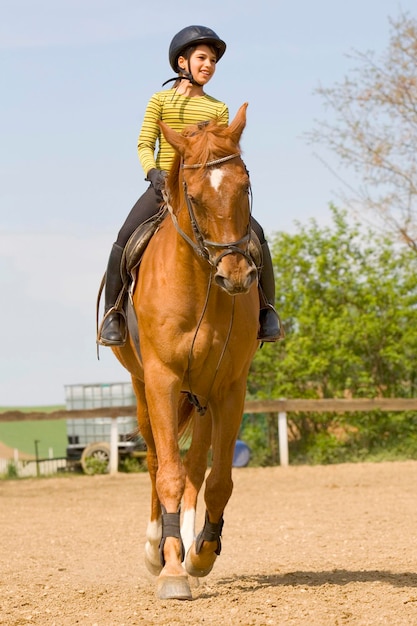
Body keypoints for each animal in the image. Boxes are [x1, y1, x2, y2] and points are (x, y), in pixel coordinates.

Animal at [112, 103, 258, 600]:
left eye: (245, 185)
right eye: (192, 196)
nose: (236, 275)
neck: (199, 287)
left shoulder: (229, 388)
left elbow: (219, 480)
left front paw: (200, 554)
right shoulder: (162, 380)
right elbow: (168, 474)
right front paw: (171, 568)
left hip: (202, 397)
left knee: (196, 468)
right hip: (145, 390)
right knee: (159, 461)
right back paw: (156, 547)